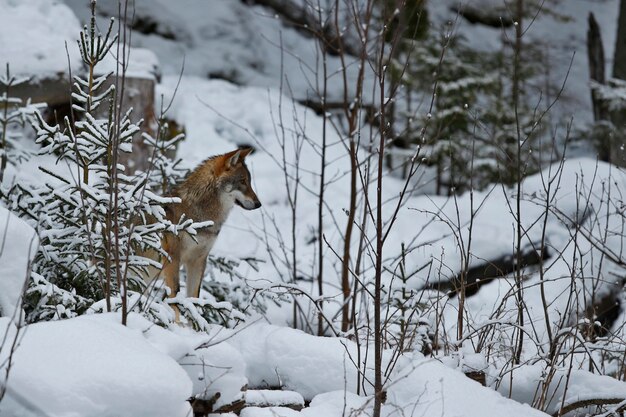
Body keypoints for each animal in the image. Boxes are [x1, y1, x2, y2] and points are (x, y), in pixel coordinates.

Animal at [158, 148, 260, 300]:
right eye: (243, 181)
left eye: (249, 181)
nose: (259, 204)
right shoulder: (172, 258)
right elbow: (175, 296)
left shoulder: (198, 260)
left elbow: (194, 297)